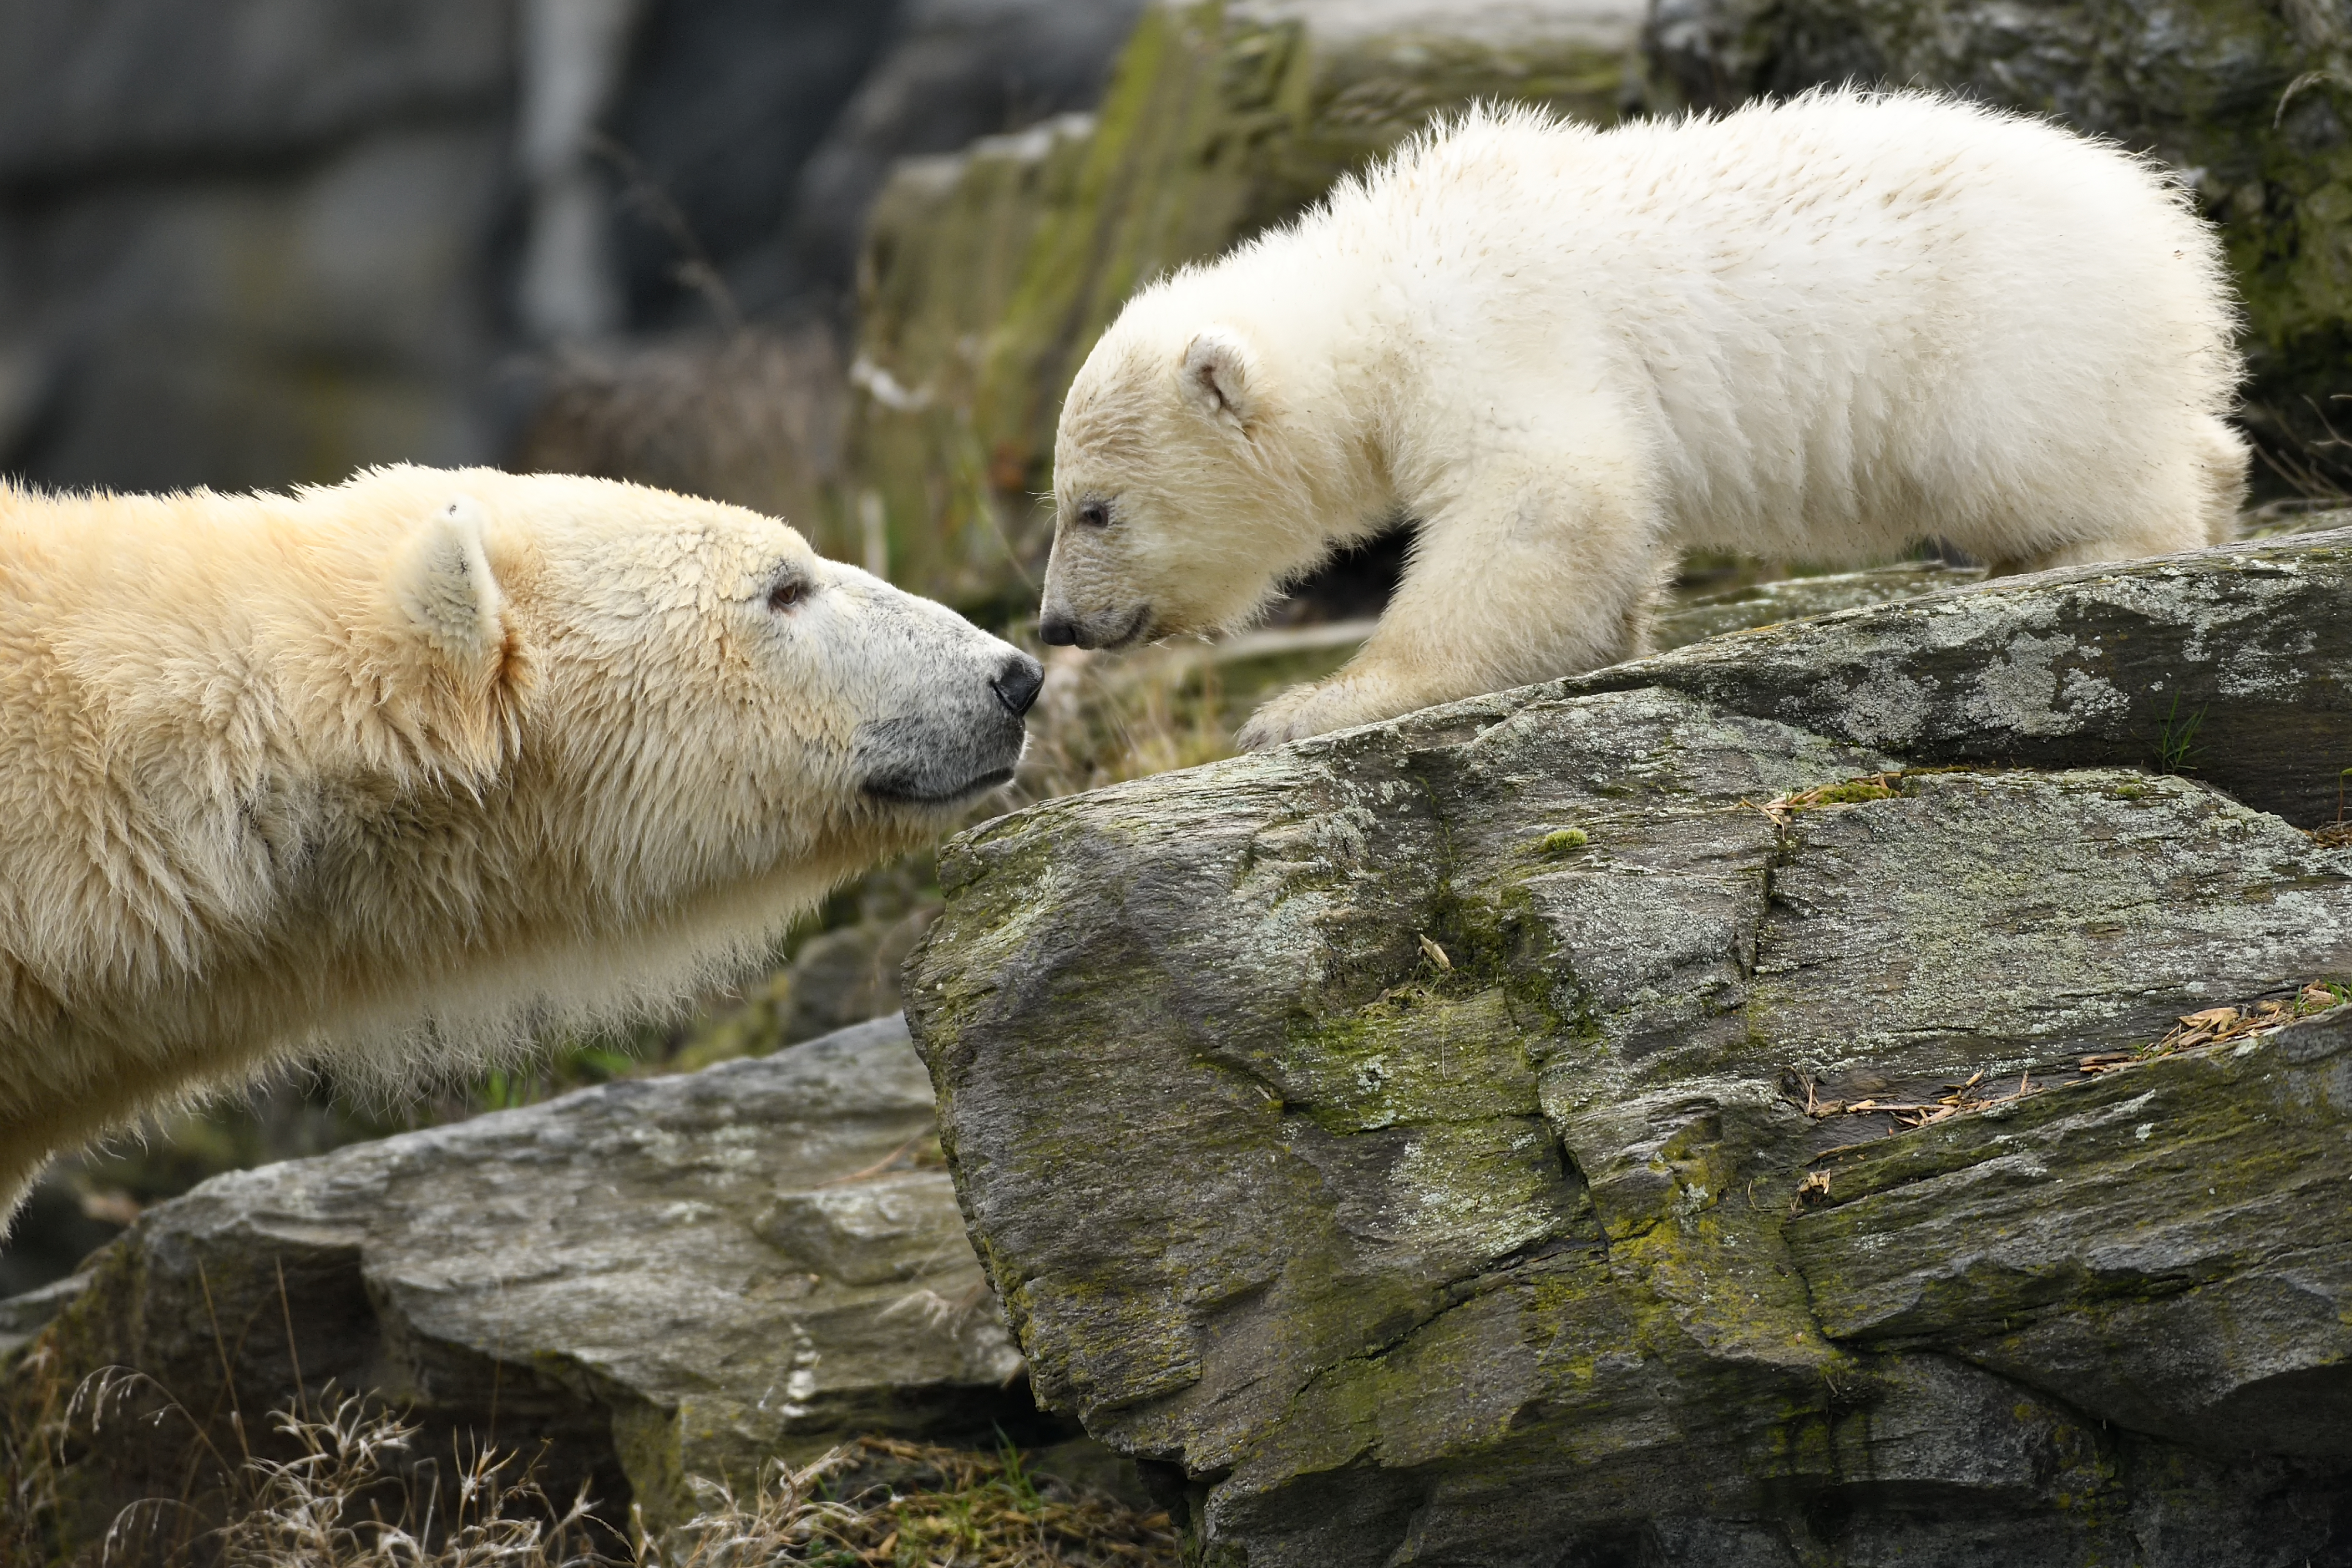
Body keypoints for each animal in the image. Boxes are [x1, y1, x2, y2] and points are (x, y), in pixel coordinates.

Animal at [1044, 89, 2239, 752]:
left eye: (1094, 510)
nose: (1057, 624)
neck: (1383, 282)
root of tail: (2169, 231)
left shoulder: (1495, 333)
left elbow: (1544, 495)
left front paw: (1310, 704)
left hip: (2004, 337)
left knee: (2043, 464)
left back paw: (2080, 548)